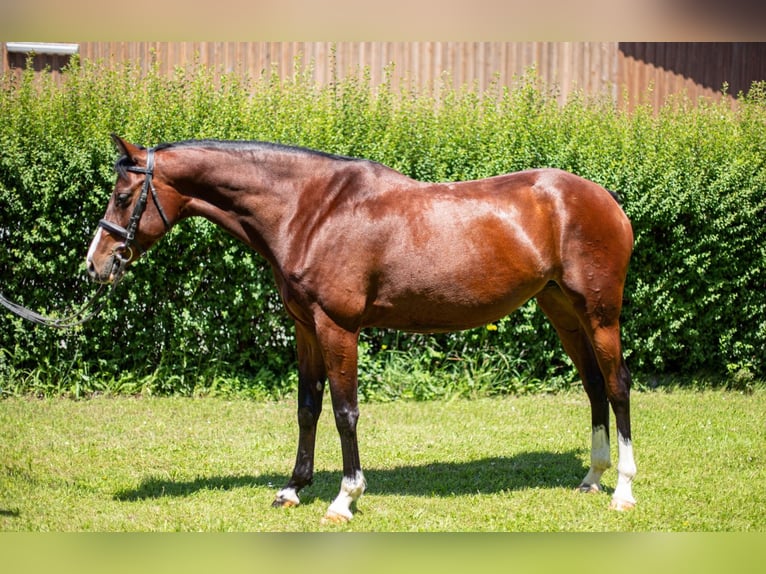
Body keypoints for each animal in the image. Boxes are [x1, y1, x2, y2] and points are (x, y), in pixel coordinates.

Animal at [87, 134, 637, 523]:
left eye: (123, 196)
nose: (95, 265)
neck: (310, 211)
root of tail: (607, 201)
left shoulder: (338, 328)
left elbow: (344, 411)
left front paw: (344, 498)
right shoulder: (306, 328)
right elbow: (308, 407)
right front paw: (292, 489)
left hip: (600, 314)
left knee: (616, 386)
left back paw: (623, 490)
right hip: (561, 309)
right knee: (592, 386)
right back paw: (592, 477)